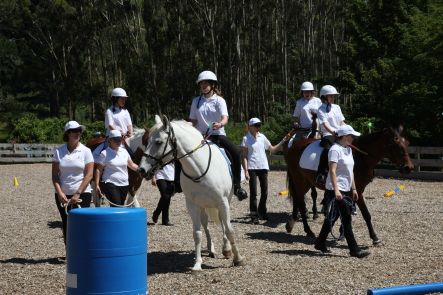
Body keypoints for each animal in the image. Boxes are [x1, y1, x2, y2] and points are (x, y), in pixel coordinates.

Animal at [139, 114, 246, 272]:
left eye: (158, 142)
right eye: (146, 142)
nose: (141, 170)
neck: (200, 168)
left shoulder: (223, 202)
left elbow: (229, 230)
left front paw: (238, 259)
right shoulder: (192, 205)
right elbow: (197, 234)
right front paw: (197, 264)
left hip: (225, 201)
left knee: (222, 223)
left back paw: (226, 250)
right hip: (203, 205)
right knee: (206, 225)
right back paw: (211, 249)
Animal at [286, 126, 414, 245]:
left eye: (407, 143)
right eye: (395, 144)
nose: (409, 167)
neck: (361, 157)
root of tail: (293, 146)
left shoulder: (355, 191)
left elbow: (351, 212)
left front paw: (344, 234)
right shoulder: (357, 191)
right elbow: (365, 214)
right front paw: (374, 238)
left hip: (305, 182)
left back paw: (292, 224)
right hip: (300, 181)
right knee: (301, 203)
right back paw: (308, 230)